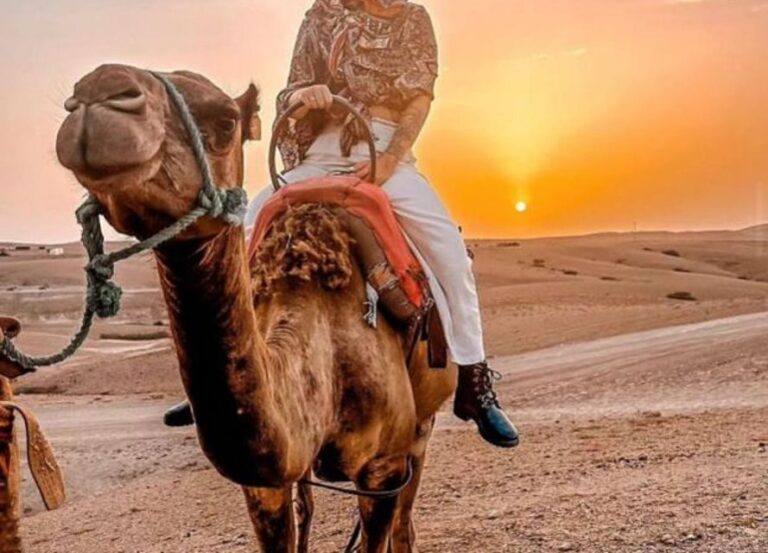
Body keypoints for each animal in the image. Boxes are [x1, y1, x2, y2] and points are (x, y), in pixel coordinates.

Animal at [55, 64, 457, 553]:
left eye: (227, 122)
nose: (100, 92)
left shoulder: (384, 467)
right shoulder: (266, 483)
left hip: (423, 424)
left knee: (405, 516)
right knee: (311, 505)